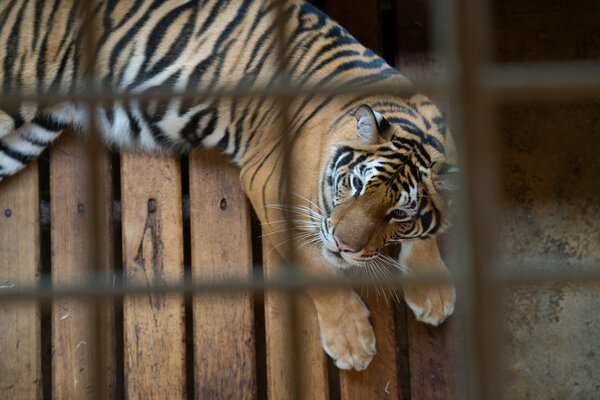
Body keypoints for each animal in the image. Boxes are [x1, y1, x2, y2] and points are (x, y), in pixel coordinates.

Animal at [0, 0, 454, 372]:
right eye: (355, 184)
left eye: (399, 213)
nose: (345, 246)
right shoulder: (271, 191)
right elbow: (315, 266)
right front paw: (352, 342)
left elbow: (428, 233)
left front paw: (433, 291)